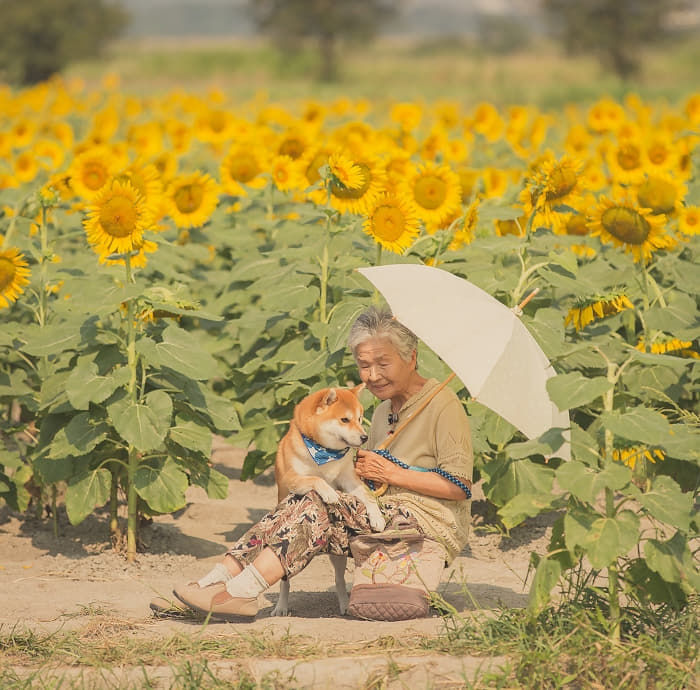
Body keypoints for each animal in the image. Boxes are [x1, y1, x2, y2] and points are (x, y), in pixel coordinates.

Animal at [270, 382, 386, 612]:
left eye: (360, 418)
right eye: (344, 420)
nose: (364, 437)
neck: (324, 453)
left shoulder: (349, 480)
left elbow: (368, 497)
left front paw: (377, 517)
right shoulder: (292, 478)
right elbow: (316, 479)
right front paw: (330, 493)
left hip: (338, 557)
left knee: (339, 580)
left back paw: (344, 605)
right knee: (285, 581)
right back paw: (281, 607)